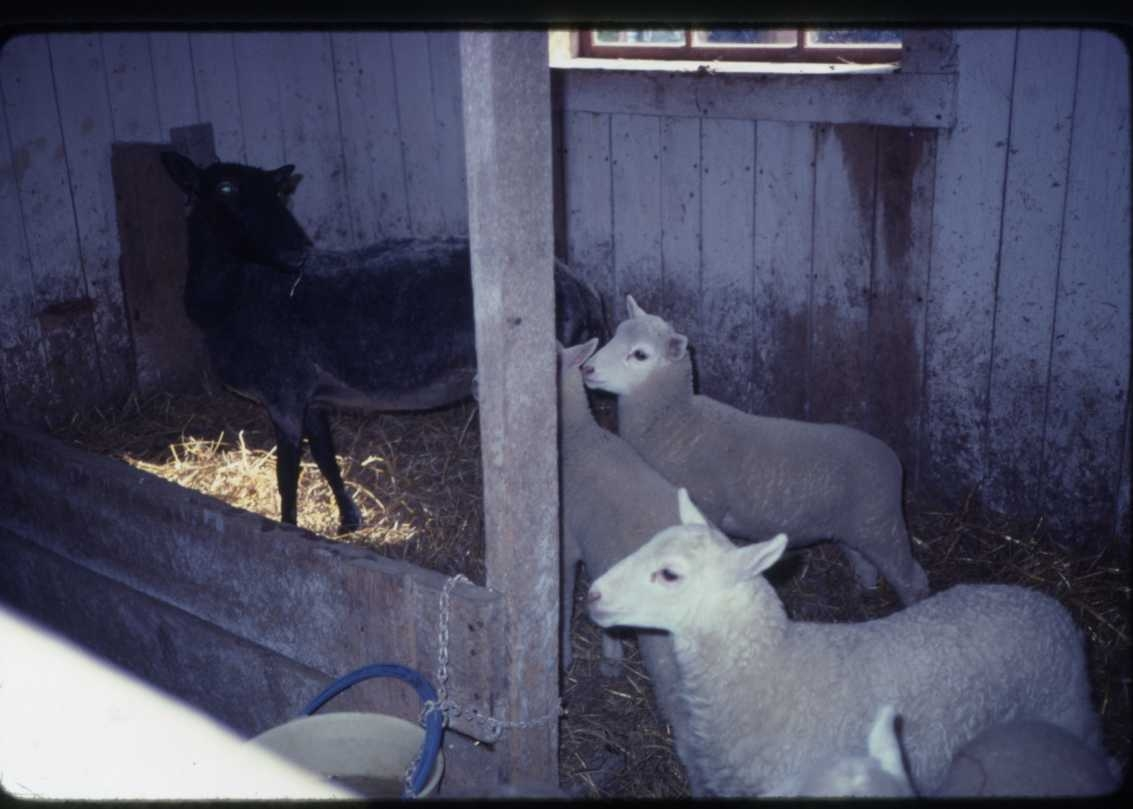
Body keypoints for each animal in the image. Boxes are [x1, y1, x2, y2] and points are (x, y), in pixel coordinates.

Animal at [557, 339, 706, 793]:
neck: (576, 438)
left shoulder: (567, 543)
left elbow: (564, 602)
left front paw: (565, 657)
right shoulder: (603, 555)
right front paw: (611, 658)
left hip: (668, 661)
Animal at [584, 292, 929, 602]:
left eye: (640, 355)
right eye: (616, 333)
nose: (587, 368)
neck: (677, 421)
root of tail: (893, 460)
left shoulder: (706, 506)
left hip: (881, 525)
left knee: (912, 577)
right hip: (854, 529)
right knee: (865, 563)